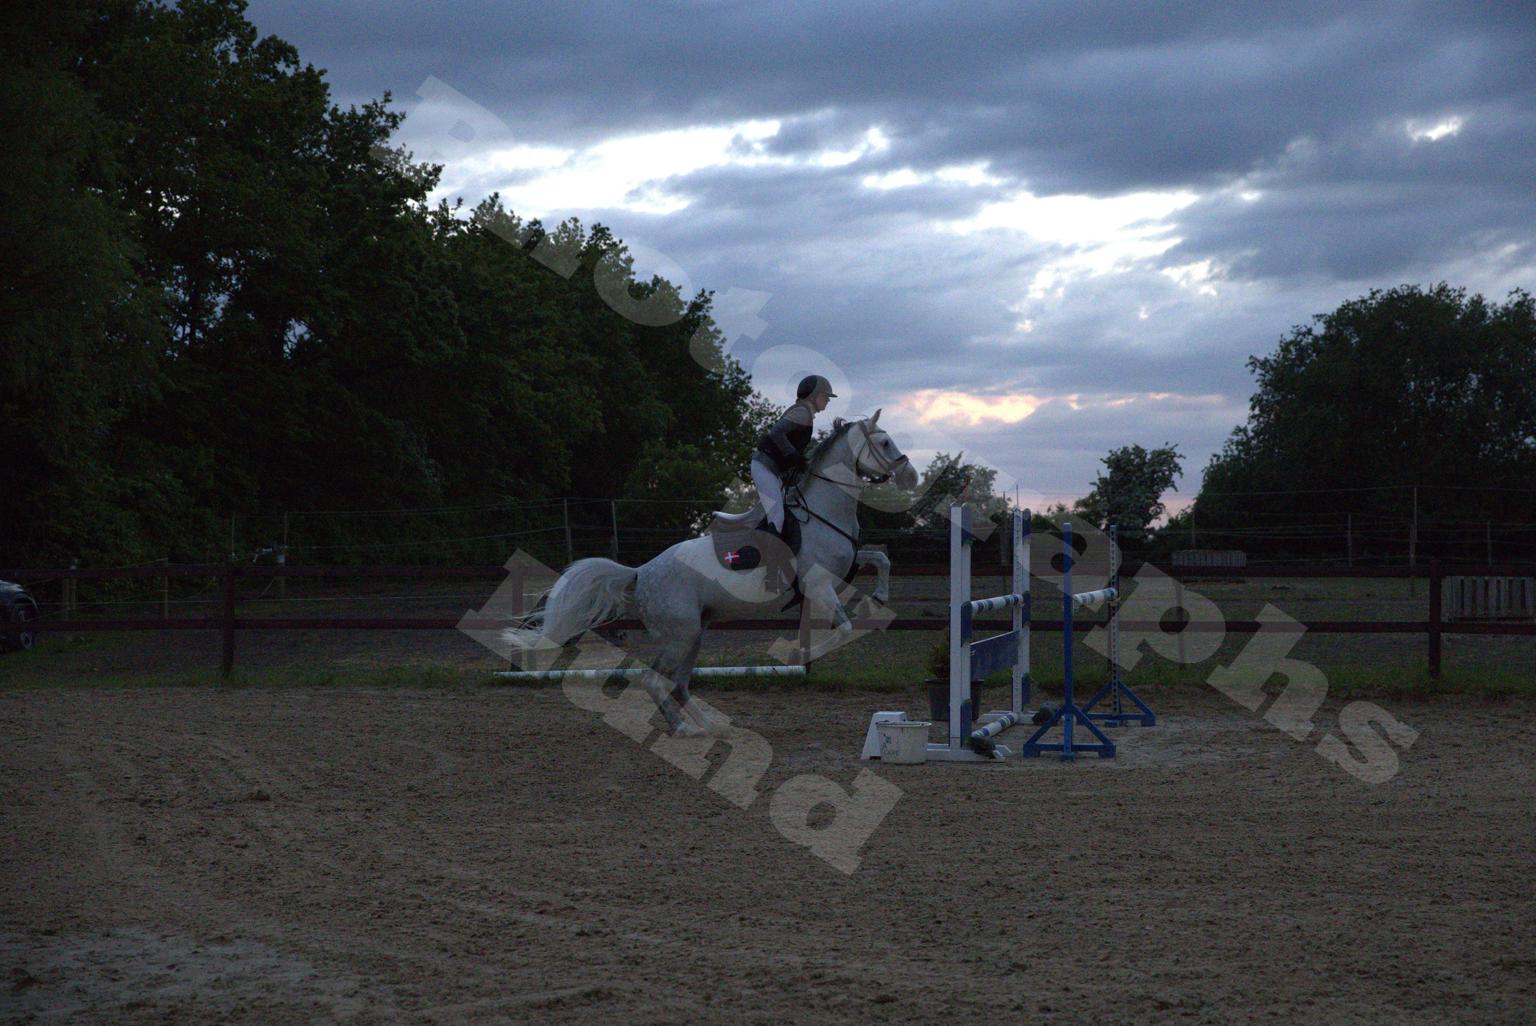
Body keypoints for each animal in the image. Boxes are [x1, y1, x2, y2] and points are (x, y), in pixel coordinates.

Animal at [501, 411, 919, 736]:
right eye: (884, 442)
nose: (911, 478)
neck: (823, 511)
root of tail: (641, 572)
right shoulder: (818, 584)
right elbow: (843, 630)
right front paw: (802, 653)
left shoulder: (843, 570)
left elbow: (881, 560)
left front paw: (880, 596)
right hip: (680, 635)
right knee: (655, 680)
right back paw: (684, 729)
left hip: (694, 634)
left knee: (679, 684)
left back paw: (710, 725)